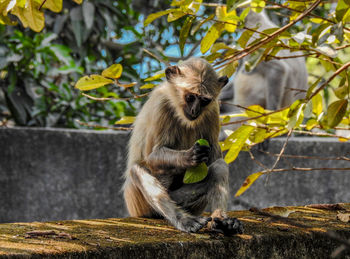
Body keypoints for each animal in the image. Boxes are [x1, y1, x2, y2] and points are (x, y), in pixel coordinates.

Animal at [123, 57, 243, 236]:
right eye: (190, 97)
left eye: (204, 100)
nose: (194, 111)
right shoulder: (161, 105)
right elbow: (151, 157)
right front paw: (189, 157)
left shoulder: (213, 109)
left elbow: (215, 157)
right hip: (139, 204)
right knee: (137, 170)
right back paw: (183, 220)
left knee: (219, 166)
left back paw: (221, 220)